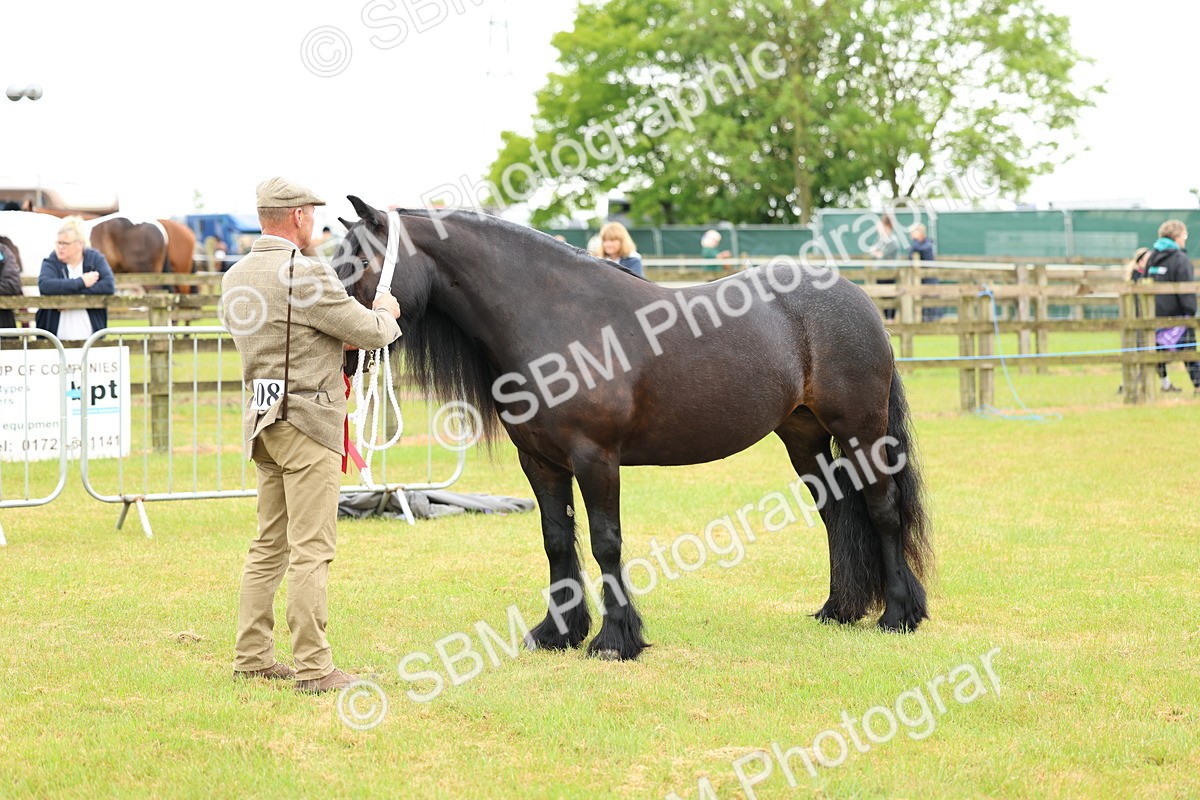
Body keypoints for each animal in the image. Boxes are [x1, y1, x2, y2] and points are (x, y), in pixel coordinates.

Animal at [333, 197, 933, 661]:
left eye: (356, 261)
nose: (338, 342)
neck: (554, 316)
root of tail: (858, 299)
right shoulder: (541, 461)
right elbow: (557, 540)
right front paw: (555, 634)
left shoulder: (595, 457)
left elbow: (606, 542)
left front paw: (615, 640)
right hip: (803, 437)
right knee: (836, 511)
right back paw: (839, 609)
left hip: (861, 430)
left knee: (881, 510)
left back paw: (899, 615)